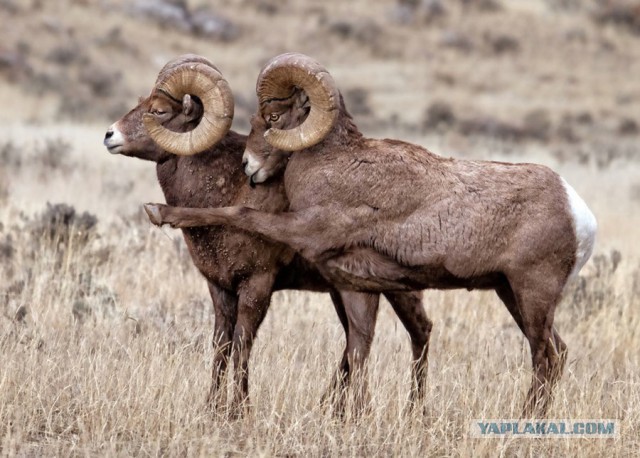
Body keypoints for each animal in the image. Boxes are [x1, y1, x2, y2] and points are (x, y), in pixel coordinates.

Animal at [104, 53, 430, 416]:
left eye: (160, 111)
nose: (110, 135)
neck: (225, 187)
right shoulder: (220, 288)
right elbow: (221, 345)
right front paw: (211, 408)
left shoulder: (257, 284)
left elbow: (243, 345)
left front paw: (239, 410)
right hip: (343, 291)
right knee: (354, 341)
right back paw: (330, 409)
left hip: (398, 289)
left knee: (419, 332)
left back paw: (413, 413)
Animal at [146, 52, 600, 416]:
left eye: (272, 119)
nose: (249, 168)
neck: (334, 164)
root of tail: (579, 213)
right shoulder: (357, 286)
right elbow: (359, 349)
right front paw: (354, 416)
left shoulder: (304, 228)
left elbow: (240, 212)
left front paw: (159, 212)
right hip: (512, 294)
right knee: (557, 353)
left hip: (532, 293)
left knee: (545, 357)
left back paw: (527, 420)